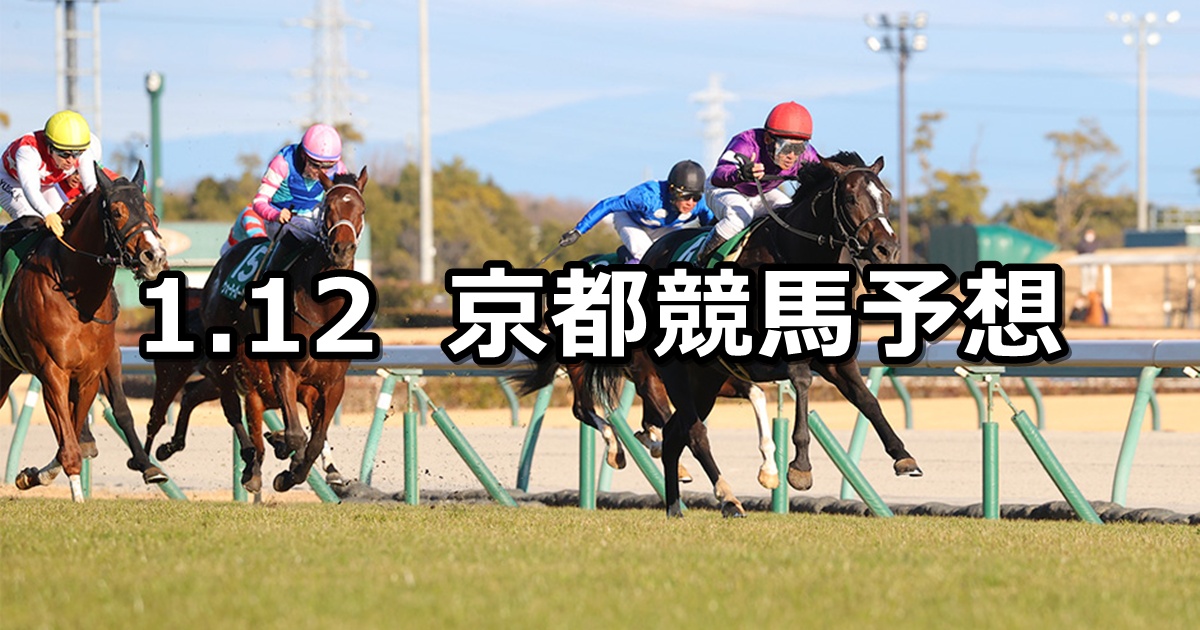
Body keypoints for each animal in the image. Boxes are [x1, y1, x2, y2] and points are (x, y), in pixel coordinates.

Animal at [0, 162, 169, 501]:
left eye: (152, 212)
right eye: (116, 212)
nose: (154, 256)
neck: (78, 297)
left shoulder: (93, 368)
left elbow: (79, 427)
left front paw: (34, 475)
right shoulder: (52, 370)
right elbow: (67, 435)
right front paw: (75, 492)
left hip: (6, 365)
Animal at [200, 168, 367, 494]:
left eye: (361, 210)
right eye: (328, 208)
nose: (342, 249)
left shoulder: (333, 383)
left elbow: (315, 440)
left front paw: (295, 470)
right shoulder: (283, 368)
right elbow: (296, 434)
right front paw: (284, 459)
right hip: (224, 362)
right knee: (234, 409)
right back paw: (252, 464)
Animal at [586, 152, 921, 517]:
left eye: (886, 196)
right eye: (850, 198)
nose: (887, 249)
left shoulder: (834, 358)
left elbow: (868, 401)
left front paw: (903, 456)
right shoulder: (768, 358)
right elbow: (801, 381)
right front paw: (799, 468)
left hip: (706, 380)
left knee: (676, 435)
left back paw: (676, 507)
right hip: (672, 372)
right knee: (694, 432)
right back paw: (726, 497)